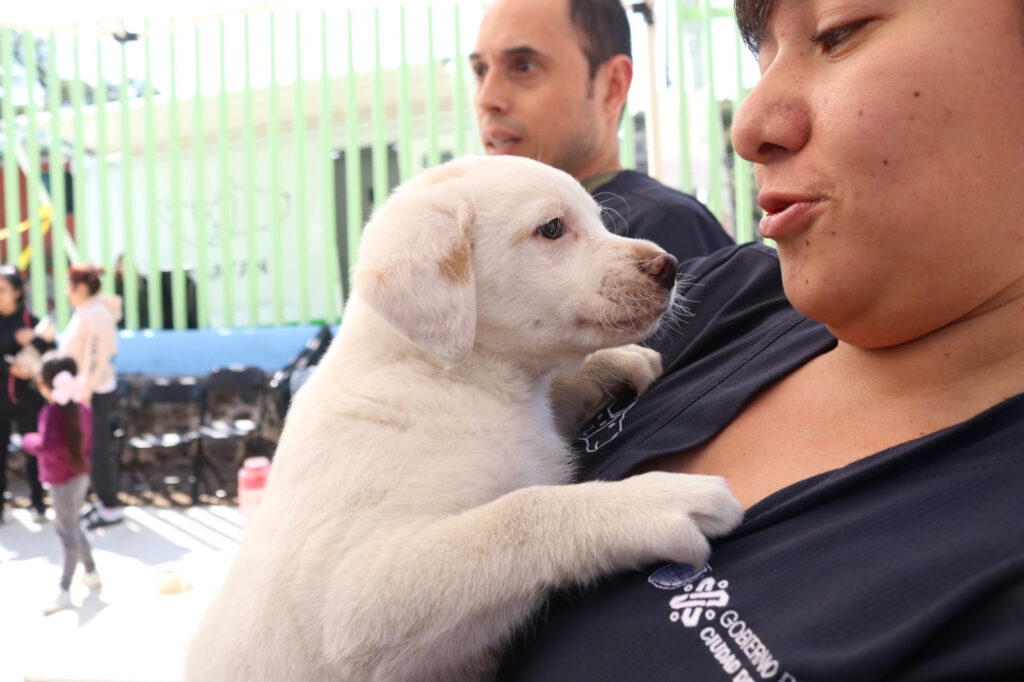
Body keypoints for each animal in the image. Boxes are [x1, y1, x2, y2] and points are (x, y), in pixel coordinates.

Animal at [186, 155, 745, 679]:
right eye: (552, 228)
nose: (670, 266)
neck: (448, 376)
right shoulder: (355, 601)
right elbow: (520, 511)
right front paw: (656, 500)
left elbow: (560, 392)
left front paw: (620, 362)